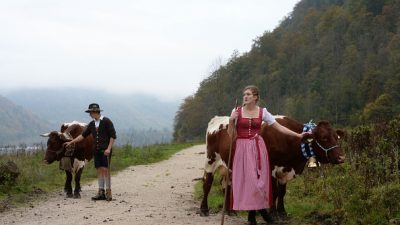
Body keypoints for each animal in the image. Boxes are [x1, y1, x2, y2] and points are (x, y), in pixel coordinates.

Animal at [202, 115, 346, 217]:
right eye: (324, 138)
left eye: (336, 137)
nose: (341, 158)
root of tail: (218, 118)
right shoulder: (270, 168)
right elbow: (274, 191)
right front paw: (272, 213)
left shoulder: (285, 170)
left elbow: (282, 192)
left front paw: (282, 212)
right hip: (210, 160)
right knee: (207, 183)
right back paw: (204, 209)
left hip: (229, 167)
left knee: (227, 185)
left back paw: (229, 211)